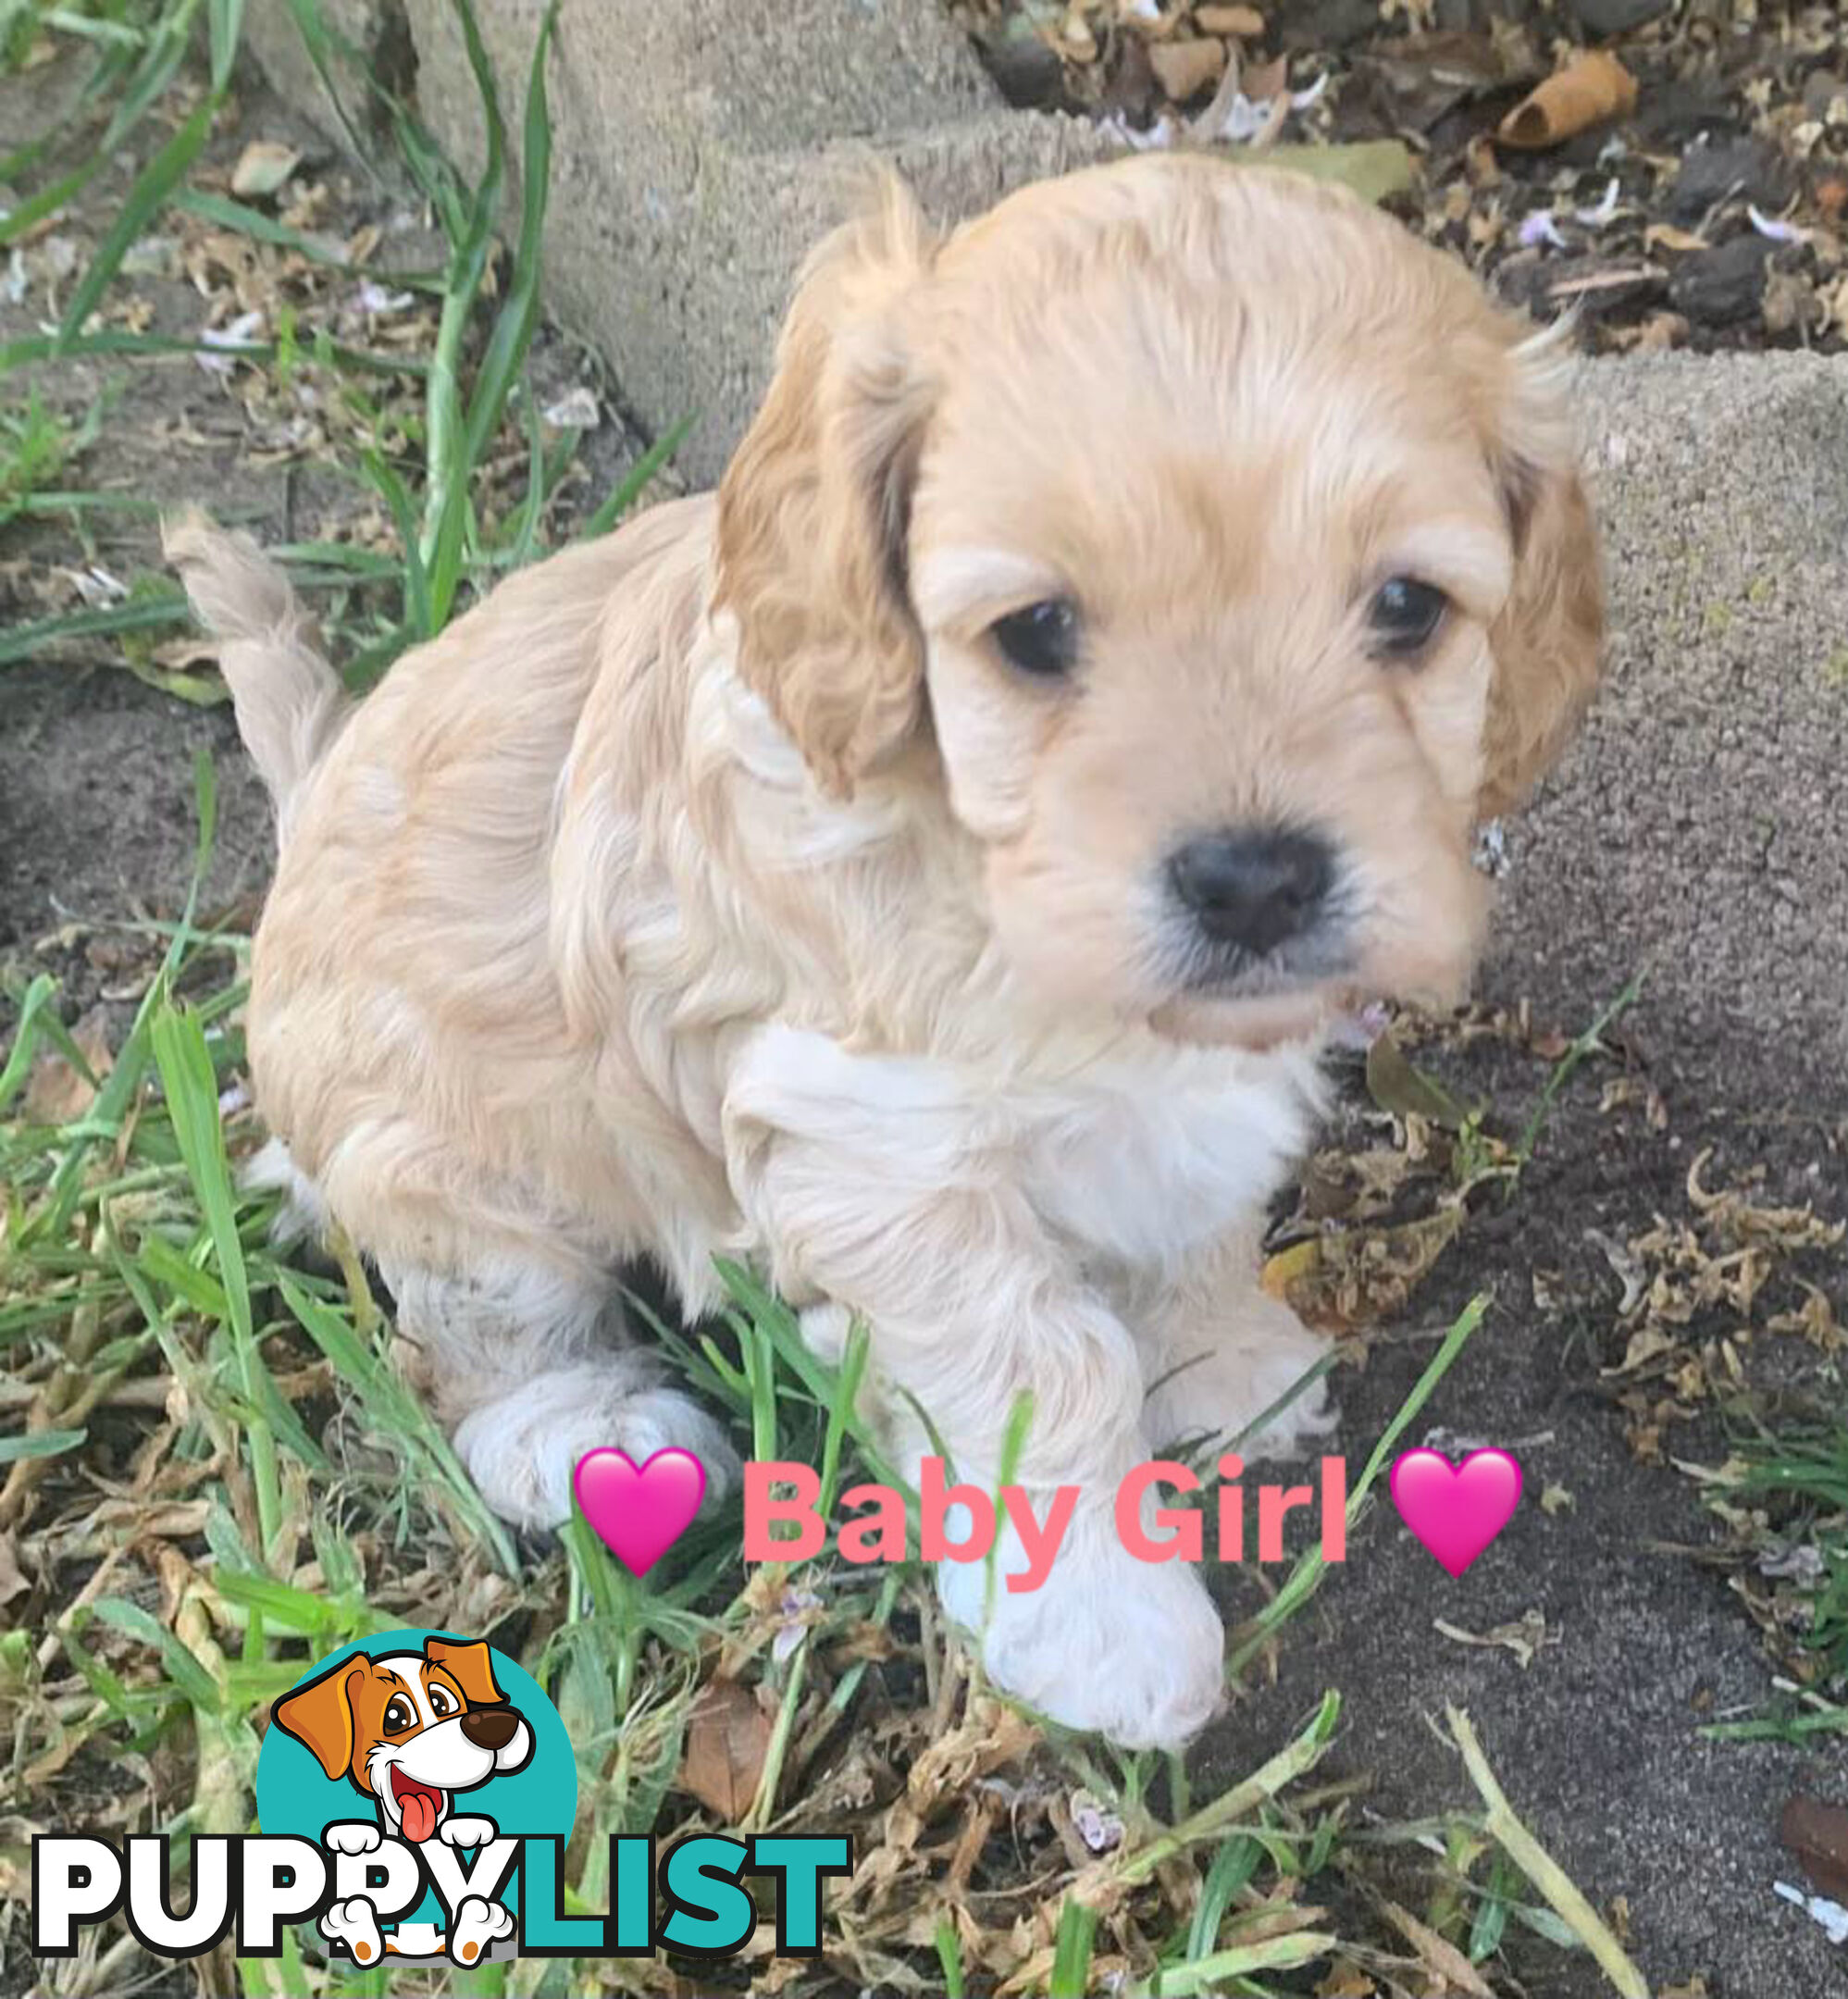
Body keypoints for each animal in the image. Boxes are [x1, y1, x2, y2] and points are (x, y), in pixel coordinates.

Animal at [166, 159, 1590, 1751]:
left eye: (1406, 608)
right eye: (1035, 632)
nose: (1256, 879)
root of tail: (309, 803)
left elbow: (1186, 1222)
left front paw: (1223, 1363)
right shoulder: (875, 1142)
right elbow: (1038, 1369)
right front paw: (1107, 1627)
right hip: (447, 1164)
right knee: (484, 1334)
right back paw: (588, 1434)